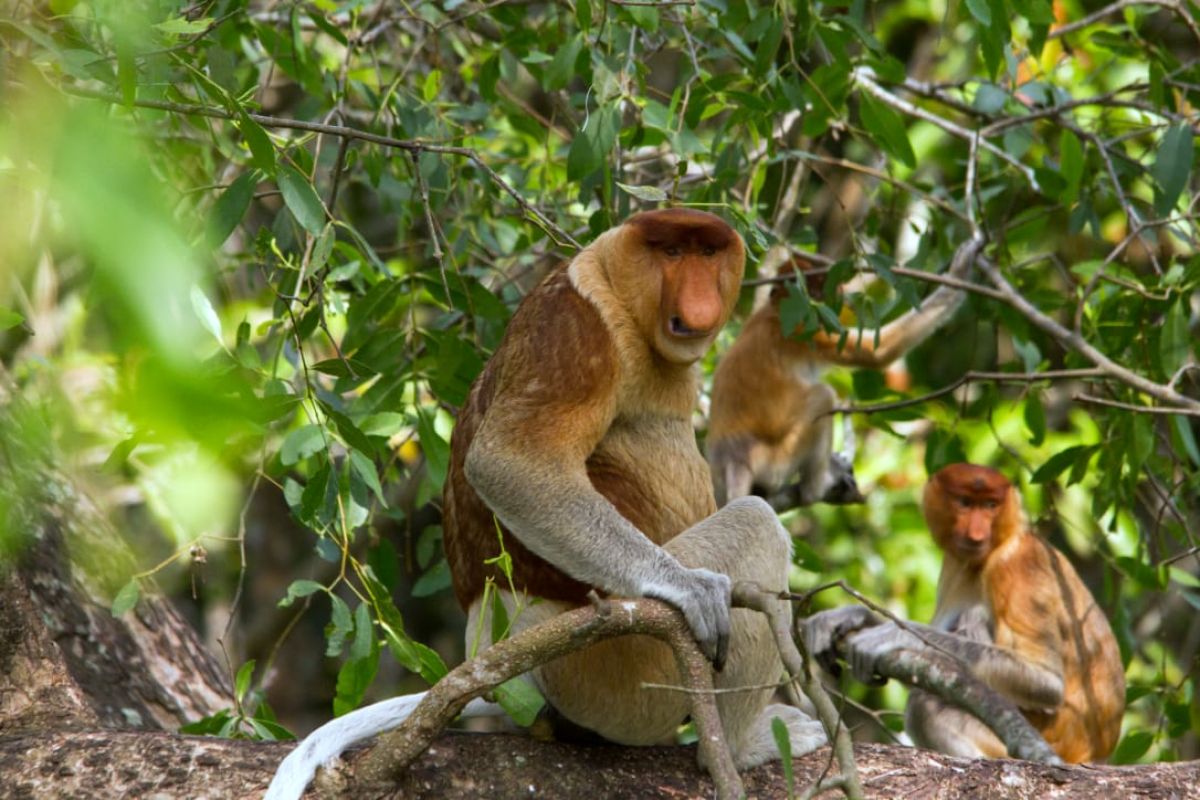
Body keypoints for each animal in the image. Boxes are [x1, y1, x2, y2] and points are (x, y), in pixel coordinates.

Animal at [262, 209, 825, 796]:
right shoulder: (578, 329)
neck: (621, 292)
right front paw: (688, 585)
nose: (699, 298)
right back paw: (740, 748)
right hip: (612, 668)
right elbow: (508, 462)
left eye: (708, 254)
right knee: (756, 525)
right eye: (672, 253)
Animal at [705, 237, 979, 510]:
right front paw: (960, 272)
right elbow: (878, 352)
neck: (773, 312)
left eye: (820, 288)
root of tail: (732, 458)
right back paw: (817, 487)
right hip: (774, 463)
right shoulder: (804, 331)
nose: (825, 301)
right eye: (811, 293)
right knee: (822, 396)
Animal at [806, 465, 1123, 767]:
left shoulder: (1017, 564)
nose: (976, 533)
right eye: (965, 502)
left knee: (927, 703)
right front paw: (850, 617)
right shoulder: (953, 564)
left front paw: (891, 635)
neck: (997, 545)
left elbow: (1045, 680)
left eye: (991, 505)